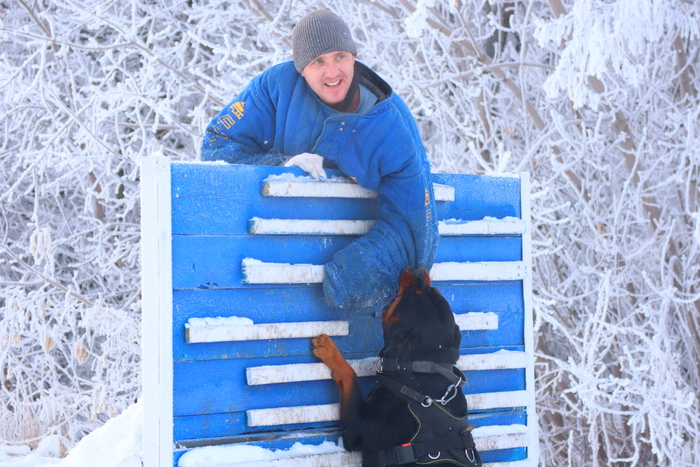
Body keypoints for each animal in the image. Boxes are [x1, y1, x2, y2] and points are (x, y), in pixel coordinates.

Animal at [312, 267, 482, 467]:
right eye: (434, 290)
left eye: (413, 295)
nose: (417, 269)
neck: (422, 369)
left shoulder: (358, 431)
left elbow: (350, 373)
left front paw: (329, 349)